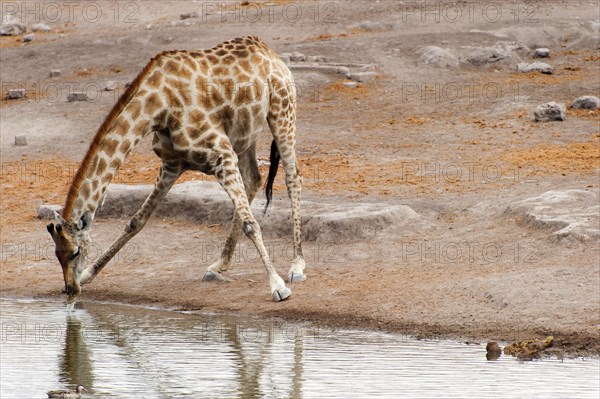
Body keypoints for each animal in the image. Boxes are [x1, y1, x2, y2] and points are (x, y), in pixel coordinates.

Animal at [46, 36, 308, 306]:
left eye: (75, 251)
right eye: (56, 253)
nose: (70, 289)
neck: (159, 107)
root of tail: (269, 52)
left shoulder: (221, 155)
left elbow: (251, 224)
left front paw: (277, 286)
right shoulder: (172, 165)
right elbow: (135, 221)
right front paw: (89, 274)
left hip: (282, 111)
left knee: (292, 176)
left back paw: (297, 266)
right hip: (245, 134)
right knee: (253, 178)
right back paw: (219, 265)